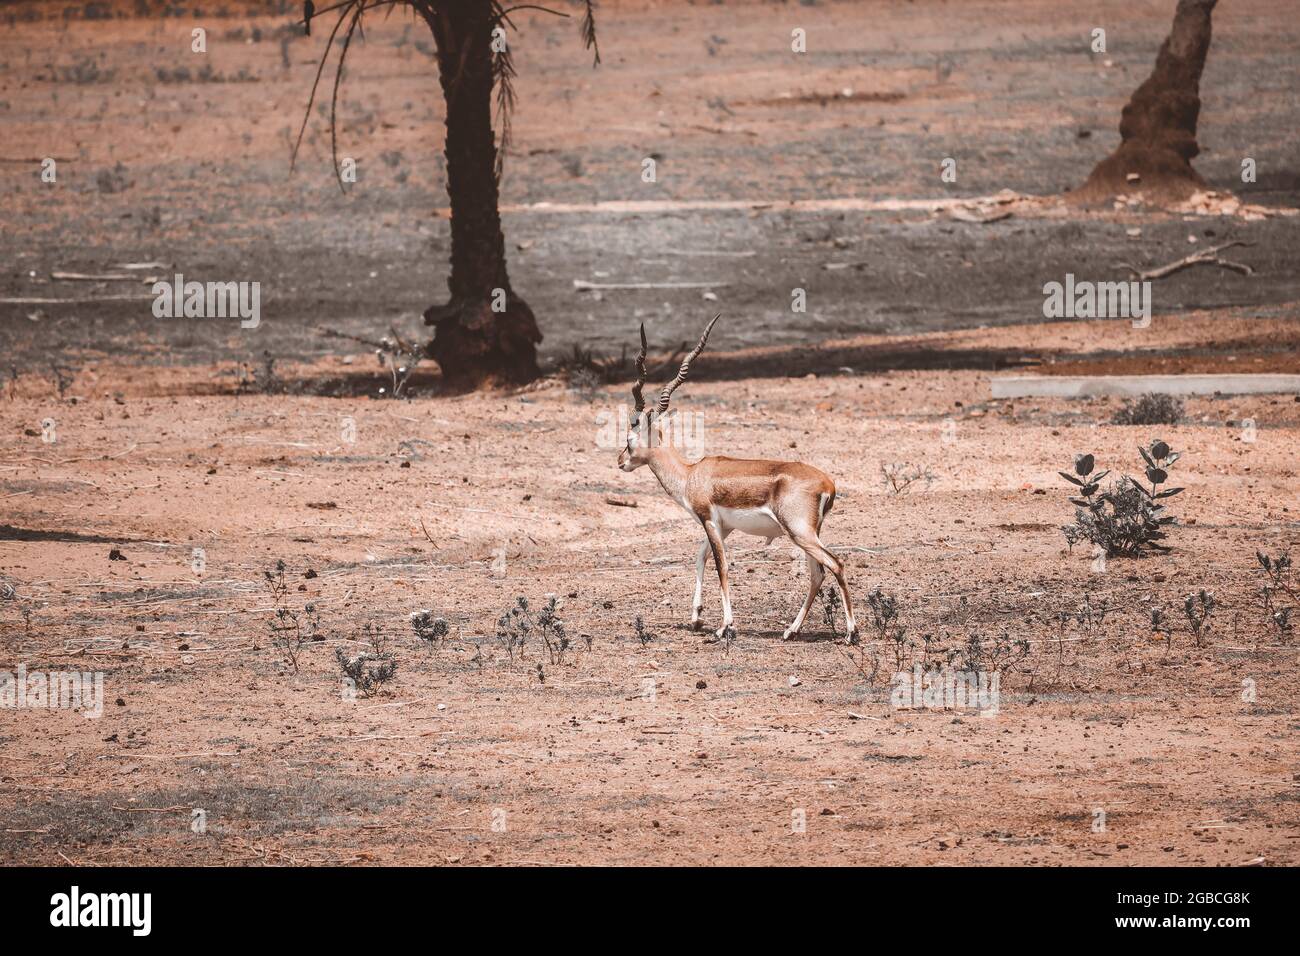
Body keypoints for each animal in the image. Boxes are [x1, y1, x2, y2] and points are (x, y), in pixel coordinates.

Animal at [613, 319, 857, 642]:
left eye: (629, 439)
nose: (620, 461)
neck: (691, 474)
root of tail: (828, 484)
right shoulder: (724, 526)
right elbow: (700, 557)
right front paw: (696, 618)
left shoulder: (709, 520)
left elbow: (721, 564)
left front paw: (724, 627)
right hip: (808, 534)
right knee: (817, 573)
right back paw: (791, 631)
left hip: (799, 532)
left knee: (835, 564)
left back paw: (851, 633)